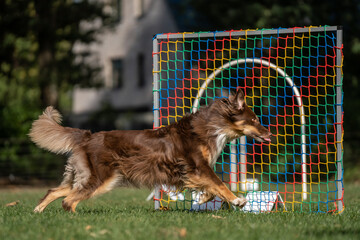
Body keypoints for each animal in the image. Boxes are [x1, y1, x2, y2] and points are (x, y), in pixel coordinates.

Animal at [29, 89, 272, 212]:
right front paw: (238, 201)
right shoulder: (197, 167)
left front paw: (202, 199)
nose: (270, 133)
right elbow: (219, 183)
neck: (211, 127)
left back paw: (38, 212)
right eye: (254, 119)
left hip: (82, 175)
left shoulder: (192, 172)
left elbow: (212, 188)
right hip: (101, 178)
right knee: (68, 201)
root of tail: (87, 135)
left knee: (55, 191)